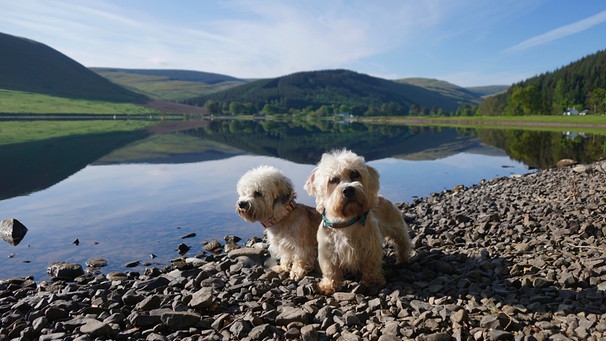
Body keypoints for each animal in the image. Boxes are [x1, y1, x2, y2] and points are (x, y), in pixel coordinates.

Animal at [304, 150, 414, 294]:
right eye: (333, 180)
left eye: (355, 173)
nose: (348, 190)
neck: (346, 221)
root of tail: (382, 197)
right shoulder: (328, 251)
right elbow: (330, 270)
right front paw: (328, 285)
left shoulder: (370, 246)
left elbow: (371, 264)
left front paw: (372, 281)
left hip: (398, 229)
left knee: (403, 244)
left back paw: (403, 259)